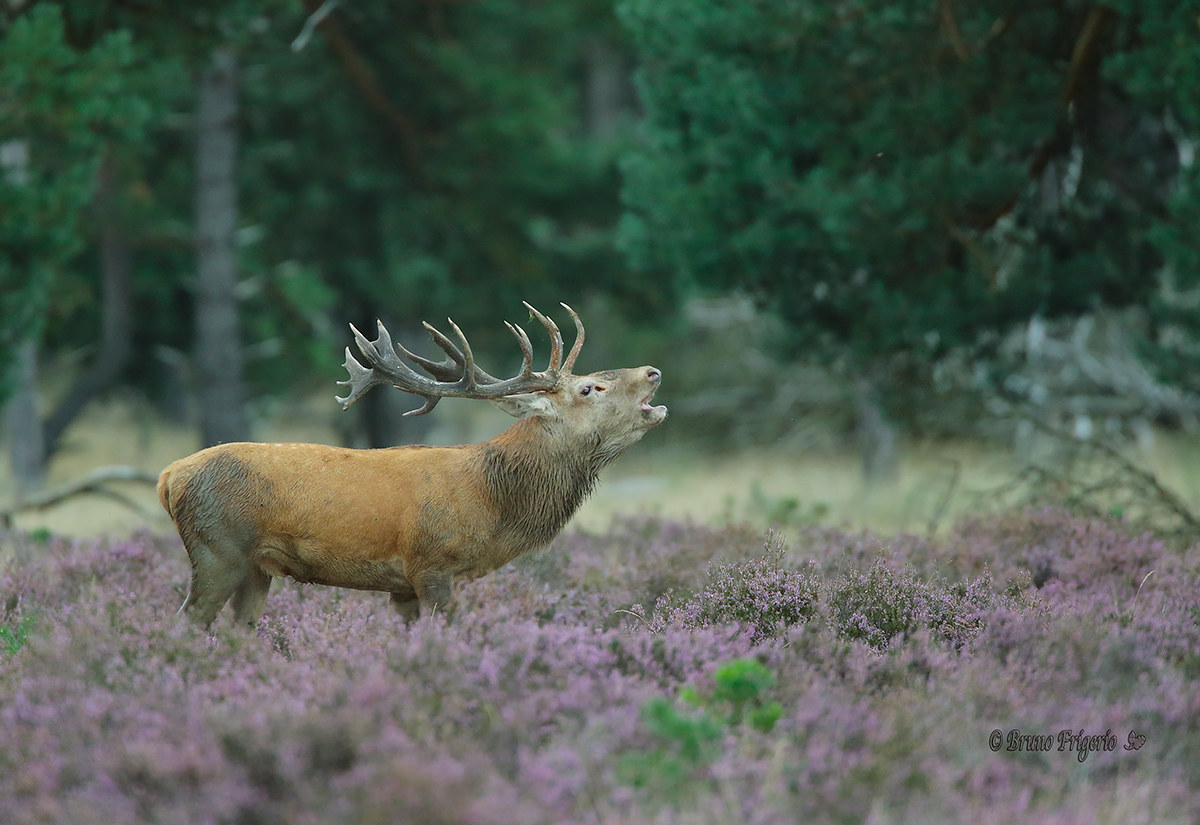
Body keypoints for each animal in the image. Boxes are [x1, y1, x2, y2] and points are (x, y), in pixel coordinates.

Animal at [157, 302, 667, 628]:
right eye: (589, 388)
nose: (652, 372)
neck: (493, 506)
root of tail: (169, 477)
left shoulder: (402, 586)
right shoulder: (431, 565)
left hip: (255, 568)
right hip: (218, 549)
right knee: (186, 623)